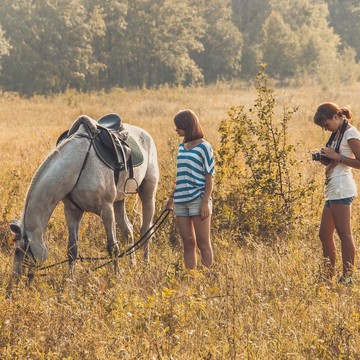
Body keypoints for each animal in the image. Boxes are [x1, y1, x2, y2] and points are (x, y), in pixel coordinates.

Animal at [7, 115, 158, 290]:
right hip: (119, 201)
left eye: (22, 252)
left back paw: (145, 265)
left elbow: (112, 247)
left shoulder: (106, 209)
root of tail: (144, 133)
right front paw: (70, 282)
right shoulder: (72, 211)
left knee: (145, 230)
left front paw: (116, 278)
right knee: (128, 231)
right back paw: (133, 265)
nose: (15, 284)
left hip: (147, 191)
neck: (77, 165)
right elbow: (72, 249)